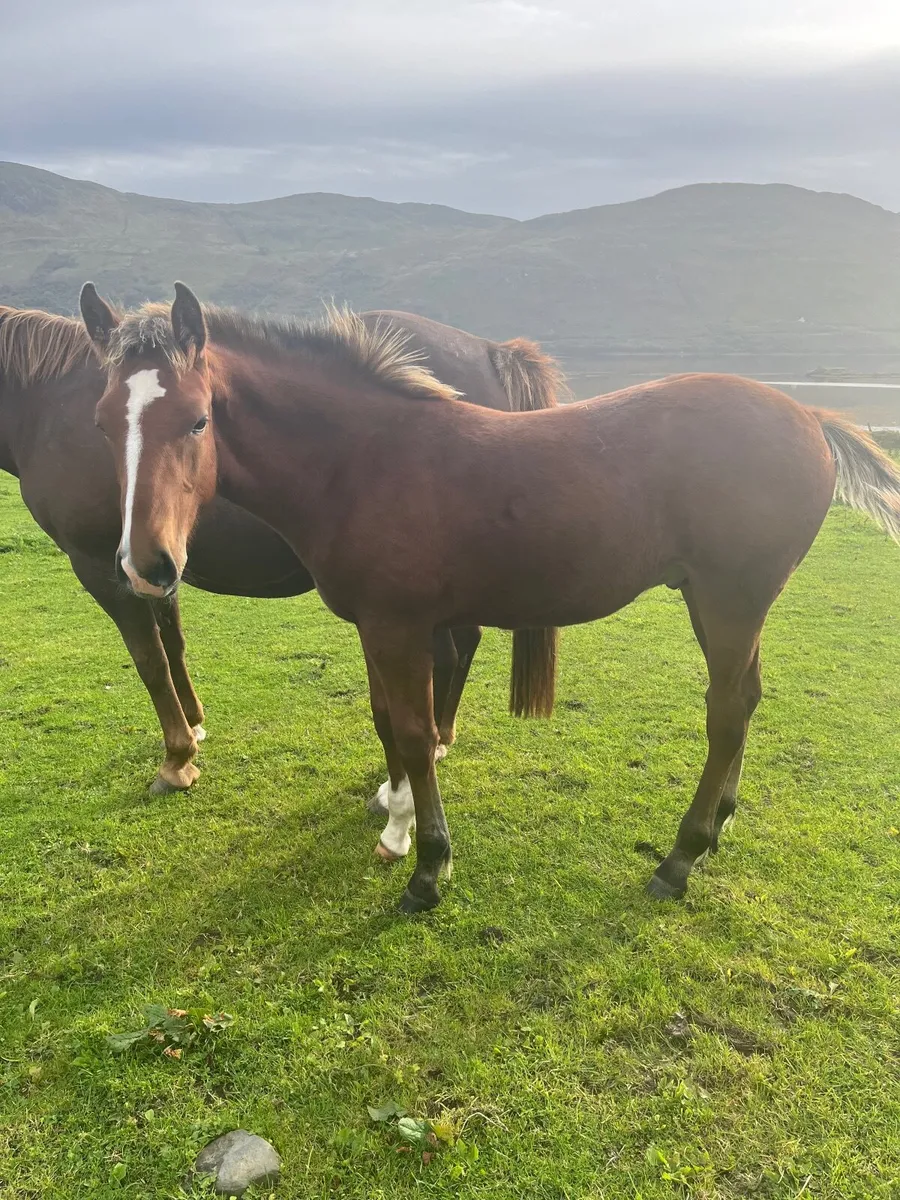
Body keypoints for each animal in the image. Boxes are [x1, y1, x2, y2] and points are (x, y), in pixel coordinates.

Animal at [0, 300, 561, 797]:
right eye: (100, 425)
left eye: (199, 422)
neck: (43, 403)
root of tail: (492, 352)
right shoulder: (151, 563)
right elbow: (173, 644)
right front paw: (196, 725)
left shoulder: (100, 564)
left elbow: (149, 660)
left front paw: (177, 759)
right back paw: (441, 736)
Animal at [82, 282, 900, 913]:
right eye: (101, 424)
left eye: (198, 419)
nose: (148, 564)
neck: (363, 461)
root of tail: (813, 419)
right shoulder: (378, 625)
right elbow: (388, 721)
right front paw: (397, 826)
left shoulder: (398, 625)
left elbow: (415, 733)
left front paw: (427, 868)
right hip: (727, 603)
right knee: (748, 698)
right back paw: (719, 826)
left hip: (731, 599)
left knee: (726, 710)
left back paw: (679, 858)